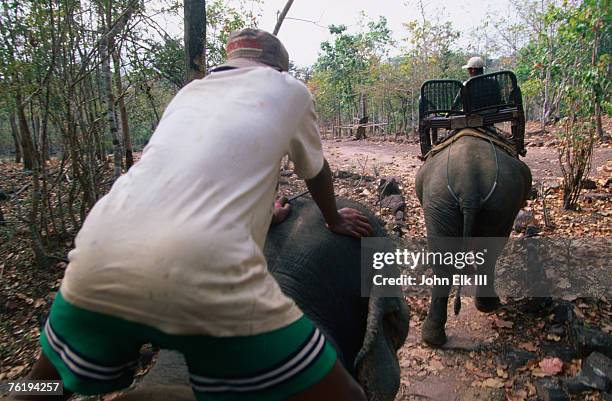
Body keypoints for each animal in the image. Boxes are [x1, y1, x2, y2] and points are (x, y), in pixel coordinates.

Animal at [416, 133, 532, 346]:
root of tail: (469, 187)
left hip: (443, 202)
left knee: (444, 260)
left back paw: (432, 338)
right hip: (495, 203)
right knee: (490, 252)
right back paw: (489, 305)